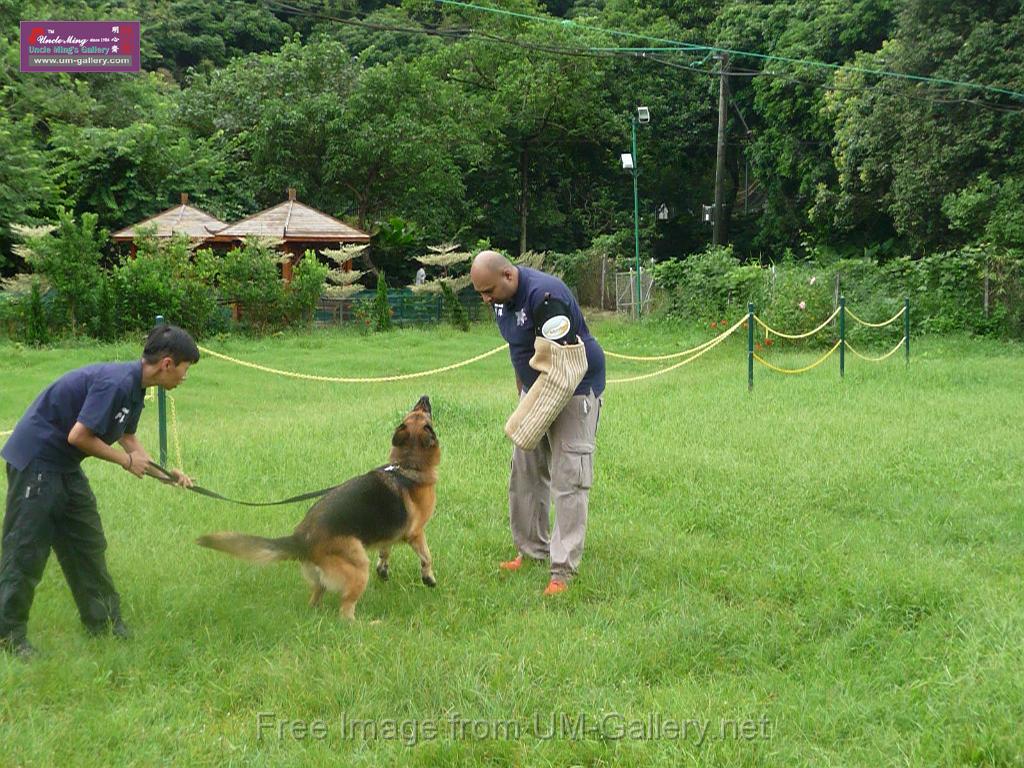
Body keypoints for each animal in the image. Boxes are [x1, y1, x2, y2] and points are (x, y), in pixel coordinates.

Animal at [196, 397, 440, 618]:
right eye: (424, 415)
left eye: (415, 411)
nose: (425, 397)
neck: (406, 465)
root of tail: (300, 539)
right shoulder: (416, 533)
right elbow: (427, 556)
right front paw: (428, 578)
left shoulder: (389, 532)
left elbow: (385, 550)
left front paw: (384, 569)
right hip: (359, 566)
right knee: (345, 612)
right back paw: (367, 625)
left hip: (324, 579)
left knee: (315, 600)